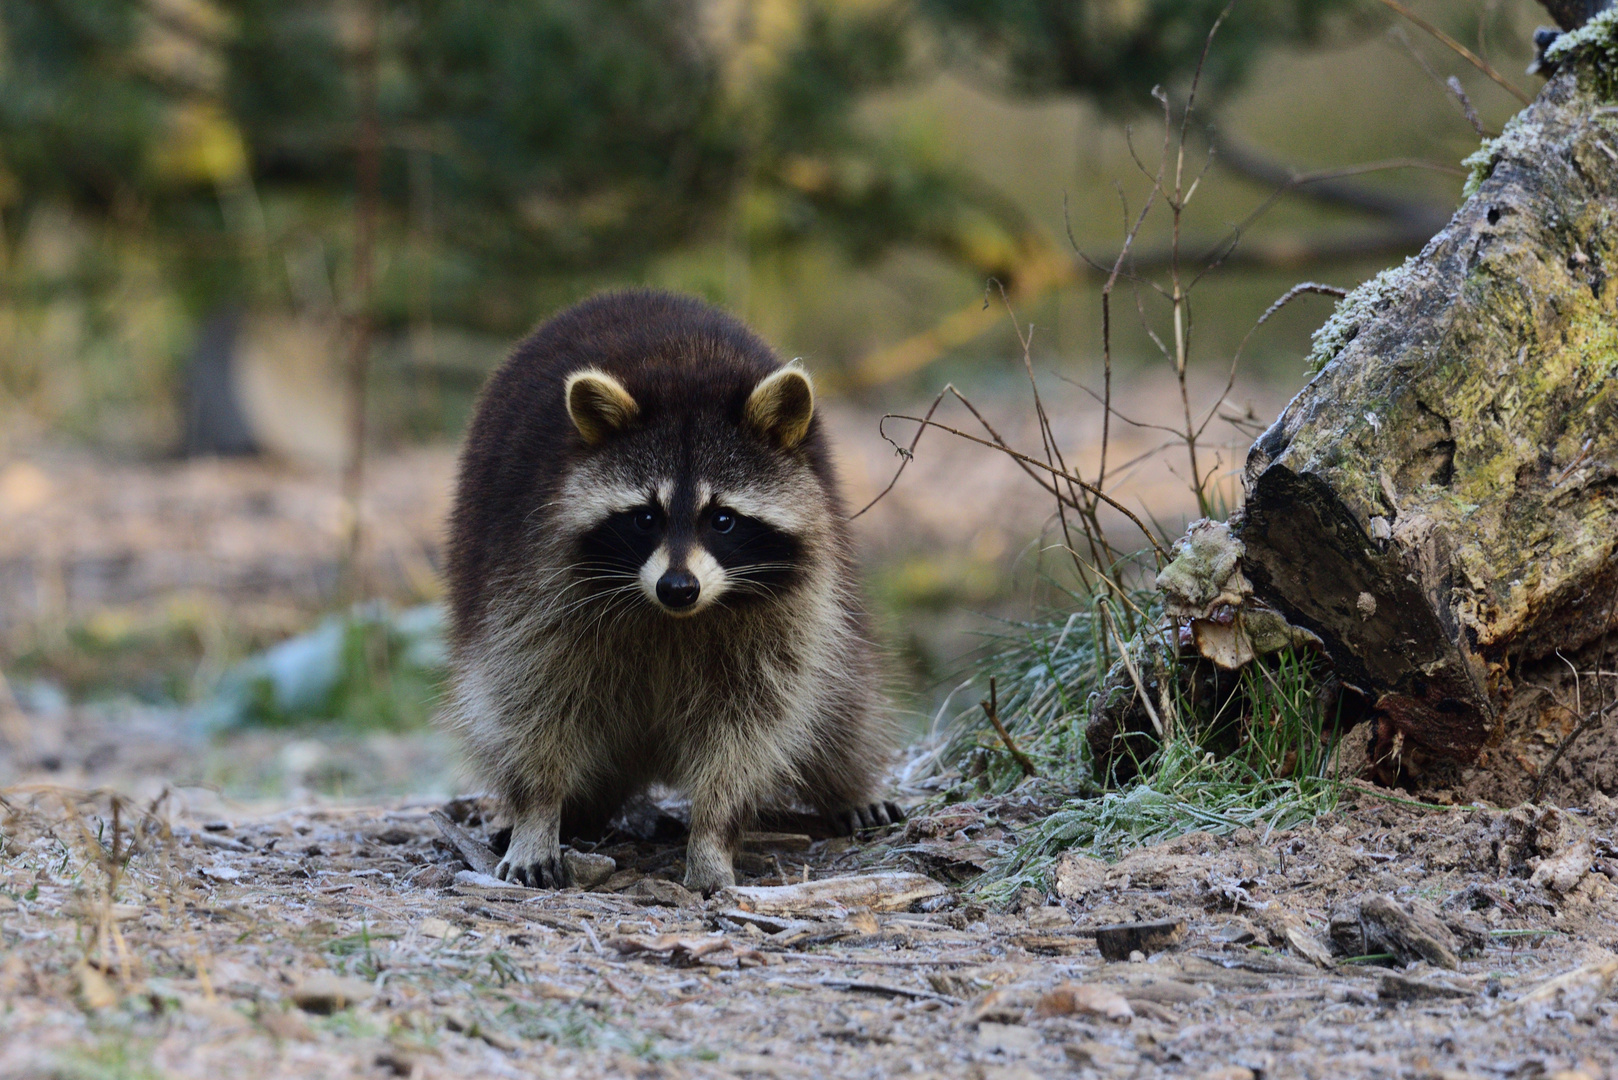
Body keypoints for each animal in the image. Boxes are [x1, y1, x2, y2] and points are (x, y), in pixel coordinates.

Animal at [443, 289, 899, 893]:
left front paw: (712, 834)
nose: (678, 587)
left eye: (723, 520)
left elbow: (753, 721)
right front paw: (537, 811)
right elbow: (531, 695)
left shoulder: (788, 611)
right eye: (645, 518)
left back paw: (849, 783)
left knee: (841, 698)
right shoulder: (530, 575)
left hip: (831, 606)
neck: (673, 619)